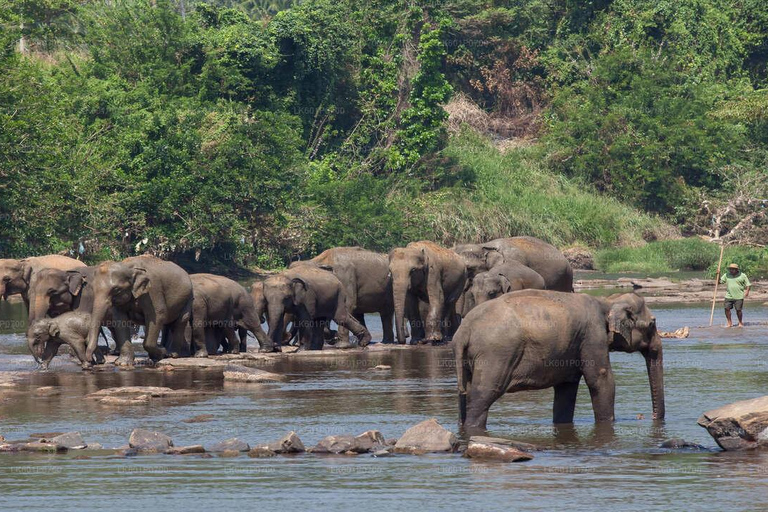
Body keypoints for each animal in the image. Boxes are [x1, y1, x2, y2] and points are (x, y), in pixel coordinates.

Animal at [452, 290, 664, 430]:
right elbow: (600, 379)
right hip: (495, 355)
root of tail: (464, 330)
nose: (651, 417)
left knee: (464, 393)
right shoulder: (592, 335)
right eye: (652, 324)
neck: (606, 301)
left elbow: (566, 389)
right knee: (483, 395)